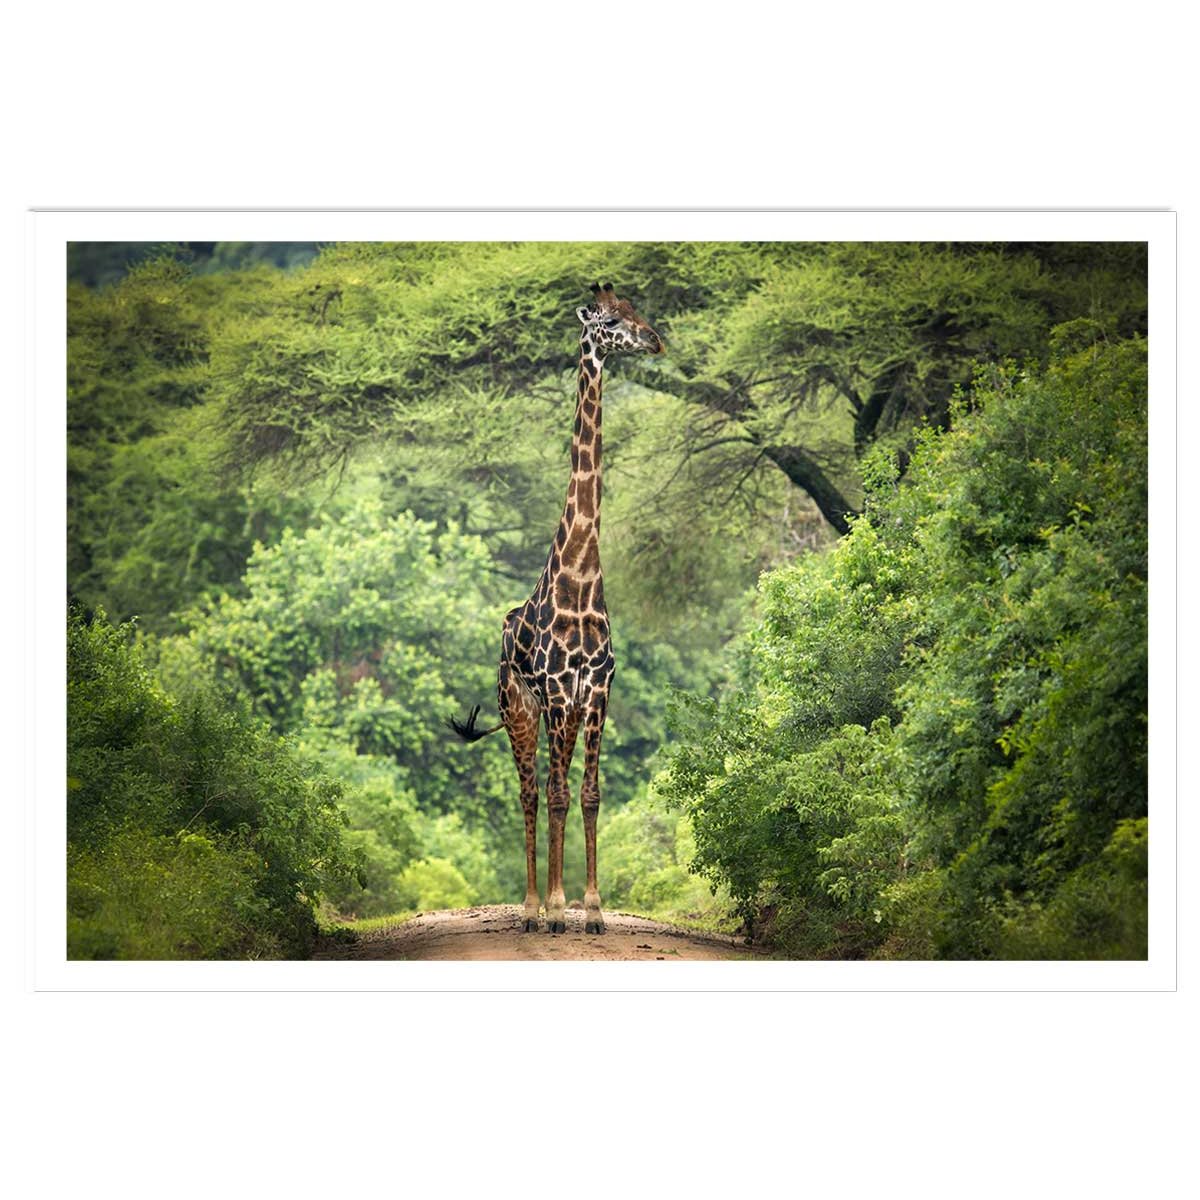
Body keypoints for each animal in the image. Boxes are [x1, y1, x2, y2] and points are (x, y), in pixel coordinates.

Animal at [449, 282, 665, 934]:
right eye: (611, 321)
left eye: (636, 309)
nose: (655, 339)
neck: (582, 579)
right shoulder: (556, 692)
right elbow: (558, 794)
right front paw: (560, 908)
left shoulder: (596, 690)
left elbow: (588, 794)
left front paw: (591, 909)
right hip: (519, 708)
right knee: (530, 790)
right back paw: (531, 909)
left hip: (555, 712)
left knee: (551, 787)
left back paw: (549, 905)